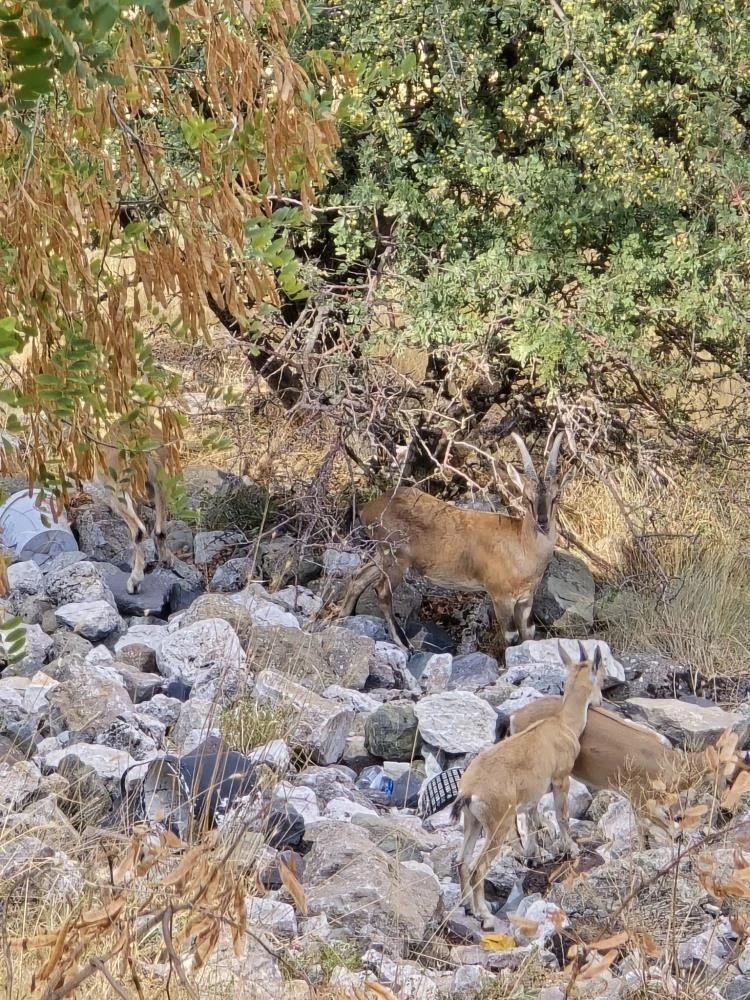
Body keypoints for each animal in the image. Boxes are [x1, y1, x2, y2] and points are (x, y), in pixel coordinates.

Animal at [320, 428, 572, 648]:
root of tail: (370, 509)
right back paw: (404, 644)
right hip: (396, 558)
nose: (542, 522)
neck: (521, 546)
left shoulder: (526, 600)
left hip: (381, 554)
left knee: (358, 577)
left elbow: (528, 633)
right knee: (382, 591)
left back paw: (344, 616)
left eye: (556, 496)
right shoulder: (500, 596)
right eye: (526, 498)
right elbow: (511, 636)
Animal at [450, 640, 604, 928]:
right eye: (601, 677)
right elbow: (562, 816)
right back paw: (485, 915)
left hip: (472, 822)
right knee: (478, 868)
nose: (599, 701)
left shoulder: (533, 796)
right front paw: (572, 849)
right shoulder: (560, 779)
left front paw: (535, 855)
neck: (564, 725)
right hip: (497, 825)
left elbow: (533, 820)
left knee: (462, 861)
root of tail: (469, 791)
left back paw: (467, 906)